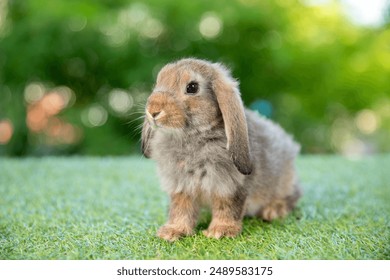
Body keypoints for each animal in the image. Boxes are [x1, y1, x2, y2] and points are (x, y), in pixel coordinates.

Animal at [141, 58, 302, 242]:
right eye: (158, 82)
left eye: (192, 87)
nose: (153, 111)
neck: (192, 136)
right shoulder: (181, 186)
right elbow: (181, 209)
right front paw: (171, 232)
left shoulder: (229, 185)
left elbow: (227, 206)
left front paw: (220, 232)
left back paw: (274, 210)